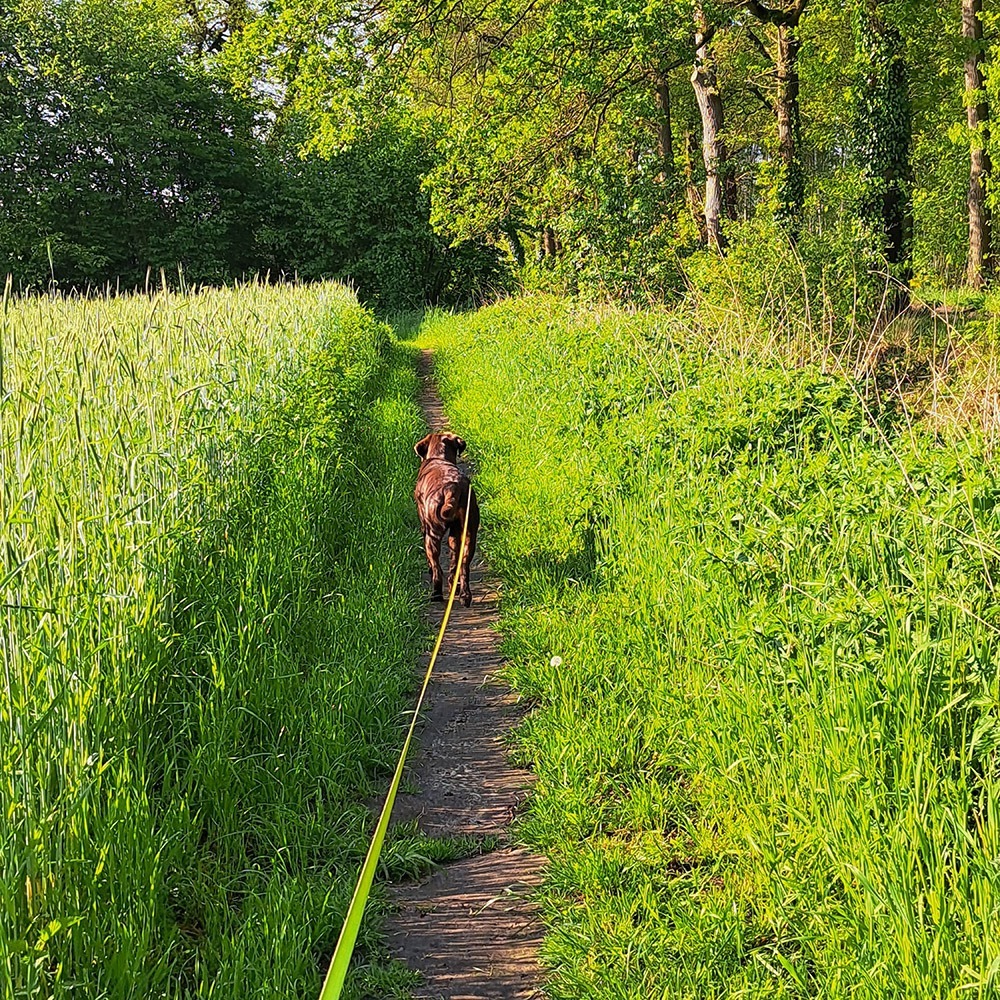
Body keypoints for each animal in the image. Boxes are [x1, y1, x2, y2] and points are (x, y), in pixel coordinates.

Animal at [412, 432, 478, 608]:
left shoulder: (424, 527)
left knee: (437, 569)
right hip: (470, 534)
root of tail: (452, 487)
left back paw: (436, 594)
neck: (439, 457)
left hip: (431, 534)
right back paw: (464, 595)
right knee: (463, 566)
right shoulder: (455, 535)